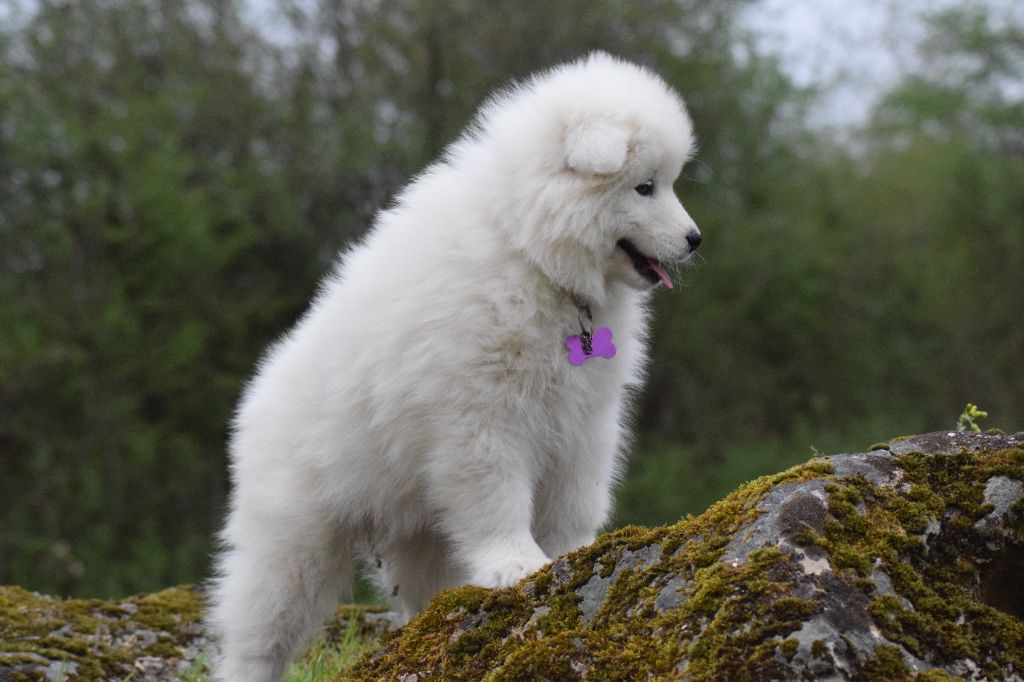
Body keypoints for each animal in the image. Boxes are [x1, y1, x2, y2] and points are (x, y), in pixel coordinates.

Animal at [210, 51, 700, 679]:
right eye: (645, 187)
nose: (694, 238)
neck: (531, 254)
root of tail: (253, 400)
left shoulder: (583, 419)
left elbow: (574, 499)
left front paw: (575, 557)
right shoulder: (477, 415)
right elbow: (496, 495)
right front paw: (515, 564)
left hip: (417, 527)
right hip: (293, 533)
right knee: (259, 627)